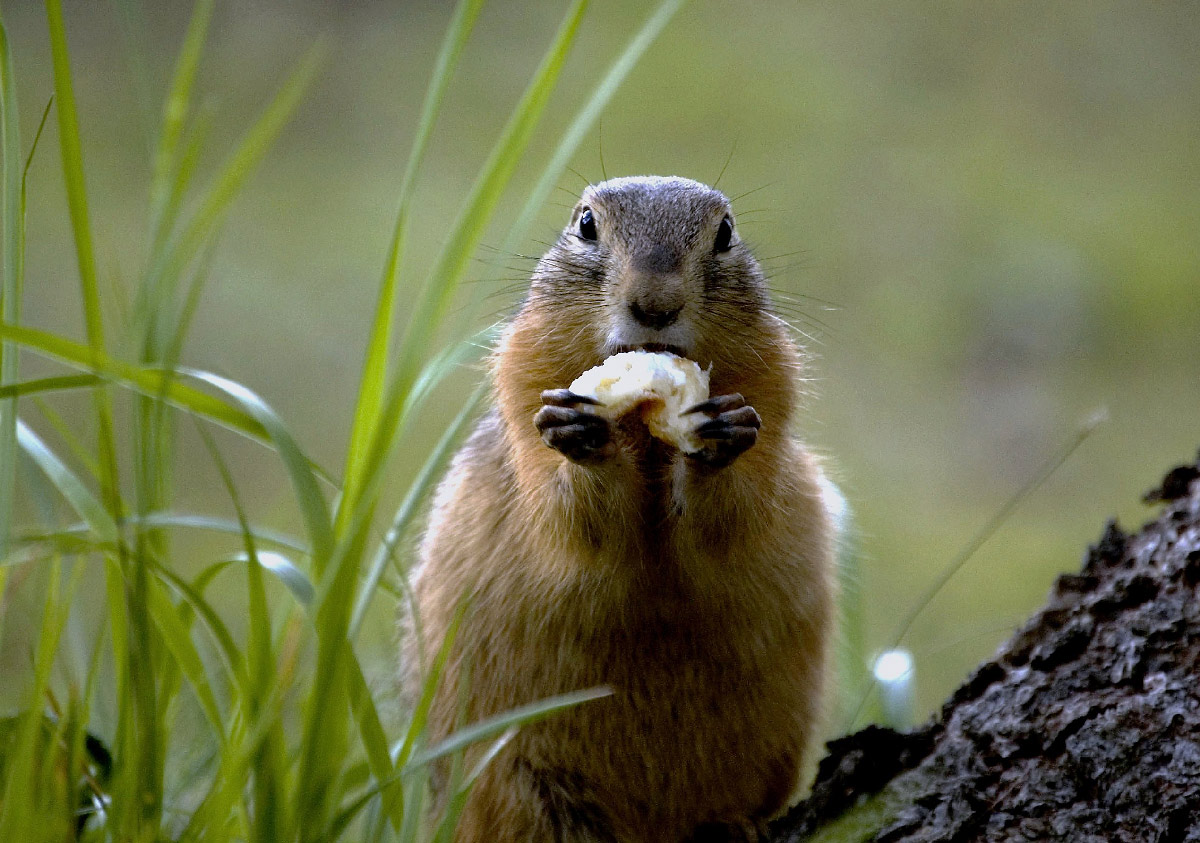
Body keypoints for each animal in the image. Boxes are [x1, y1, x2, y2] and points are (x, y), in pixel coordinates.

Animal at [405, 175, 835, 840]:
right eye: (585, 223)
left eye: (726, 231)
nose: (655, 304)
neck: (646, 439)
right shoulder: (522, 393)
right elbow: (572, 523)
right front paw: (580, 433)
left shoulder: (774, 393)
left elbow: (735, 519)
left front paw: (722, 436)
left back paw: (733, 826)